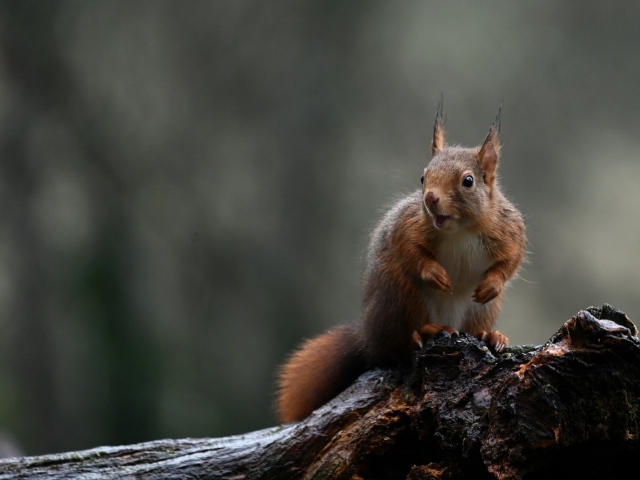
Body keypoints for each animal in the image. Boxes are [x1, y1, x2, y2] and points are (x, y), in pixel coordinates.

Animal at [278, 106, 528, 424]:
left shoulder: (510, 230)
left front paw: (492, 284)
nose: (430, 199)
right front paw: (435, 273)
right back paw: (425, 333)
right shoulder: (407, 226)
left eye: (468, 181)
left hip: (479, 311)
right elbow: (409, 250)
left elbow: (511, 259)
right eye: (423, 177)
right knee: (394, 348)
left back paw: (490, 335)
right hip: (401, 295)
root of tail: (366, 337)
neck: (460, 230)